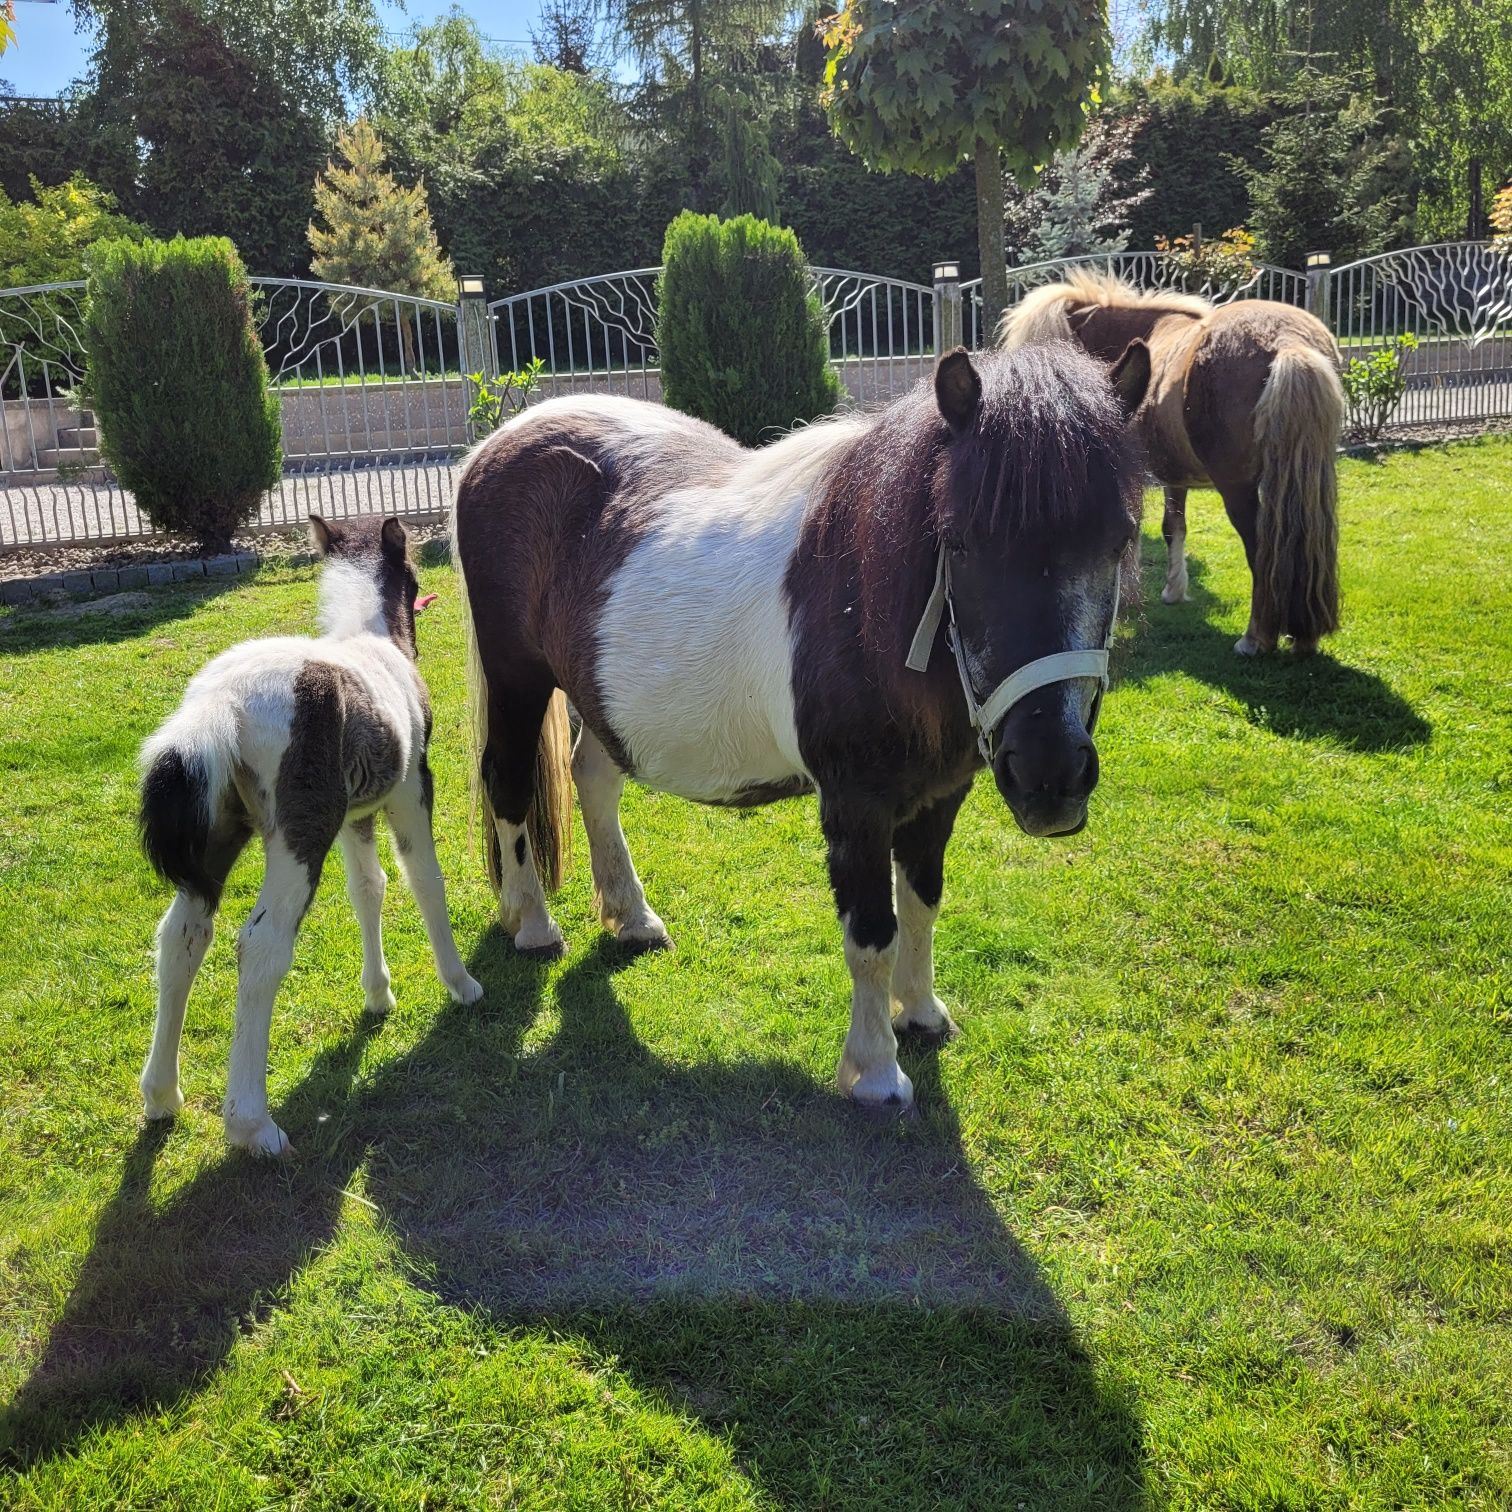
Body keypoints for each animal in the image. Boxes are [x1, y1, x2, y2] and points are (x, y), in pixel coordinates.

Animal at [137, 514, 477, 1149]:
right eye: (416, 576)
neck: (371, 642)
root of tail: (220, 706)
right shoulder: (411, 788)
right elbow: (424, 879)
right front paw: (460, 983)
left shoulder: (354, 815)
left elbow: (369, 889)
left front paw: (378, 994)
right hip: (299, 835)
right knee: (262, 944)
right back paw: (252, 1124)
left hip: (219, 834)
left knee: (183, 936)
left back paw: (162, 1095)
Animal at [453, 343, 1149, 1112]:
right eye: (961, 542)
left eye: (1120, 539)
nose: (1051, 775)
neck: (867, 611)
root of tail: (496, 443)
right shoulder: (856, 806)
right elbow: (872, 932)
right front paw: (875, 1072)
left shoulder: (939, 798)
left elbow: (923, 903)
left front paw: (922, 1013)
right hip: (518, 680)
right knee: (508, 784)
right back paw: (533, 924)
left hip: (603, 699)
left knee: (593, 779)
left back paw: (632, 919)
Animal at [997, 275, 1342, 653]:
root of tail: (1287, 342)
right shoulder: (1175, 478)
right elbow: (1172, 527)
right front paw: (1173, 591)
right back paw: (1304, 637)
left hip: (1239, 488)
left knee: (1260, 550)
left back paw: (1255, 639)